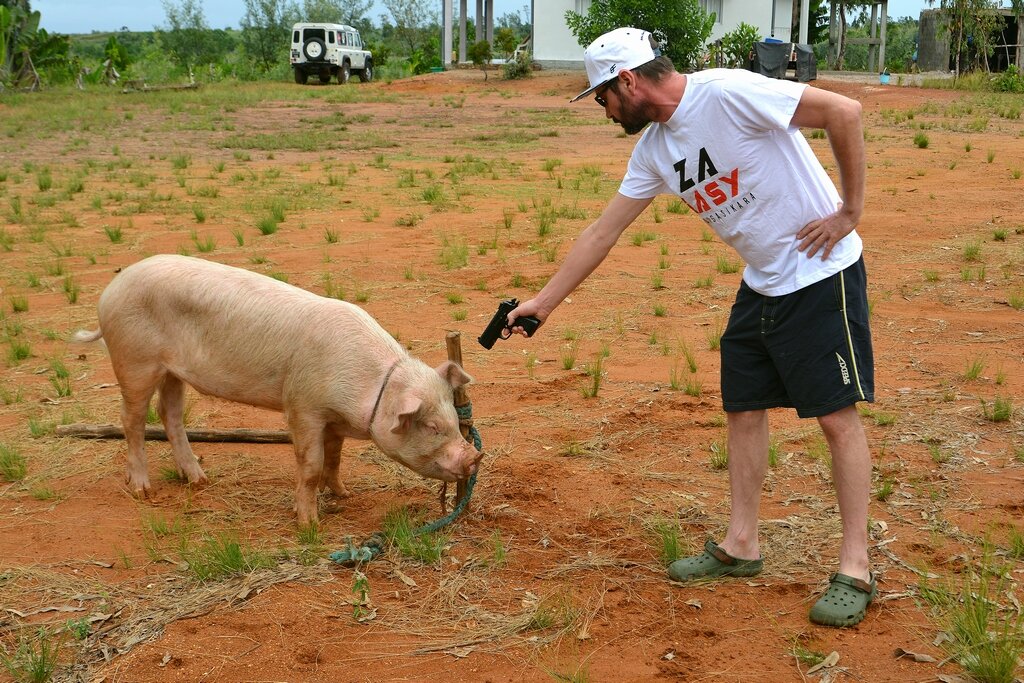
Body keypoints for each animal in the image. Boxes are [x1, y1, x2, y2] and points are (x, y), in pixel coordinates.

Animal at [74, 253, 481, 528]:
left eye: (452, 417)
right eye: (432, 427)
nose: (474, 456)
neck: (374, 386)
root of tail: (109, 291)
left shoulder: (332, 418)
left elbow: (335, 457)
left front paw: (344, 494)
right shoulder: (302, 405)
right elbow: (311, 465)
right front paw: (309, 524)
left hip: (172, 371)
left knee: (169, 413)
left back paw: (200, 480)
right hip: (134, 360)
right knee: (132, 419)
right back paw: (143, 490)